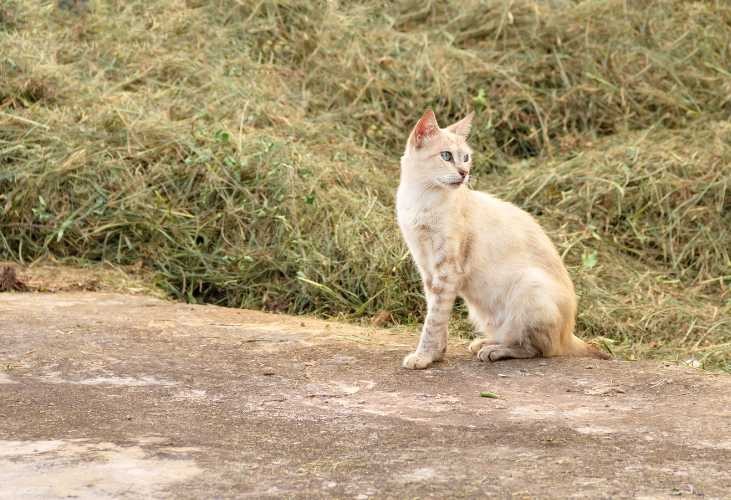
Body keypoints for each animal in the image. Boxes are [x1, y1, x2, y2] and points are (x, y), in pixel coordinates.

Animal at [398, 109, 608, 370]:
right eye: (446, 156)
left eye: (465, 157)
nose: (464, 173)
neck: (421, 198)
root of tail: (570, 334)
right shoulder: (427, 270)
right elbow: (437, 318)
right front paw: (436, 355)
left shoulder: (446, 272)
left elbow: (433, 321)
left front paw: (424, 357)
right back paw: (484, 343)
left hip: (529, 285)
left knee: (539, 349)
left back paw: (494, 351)